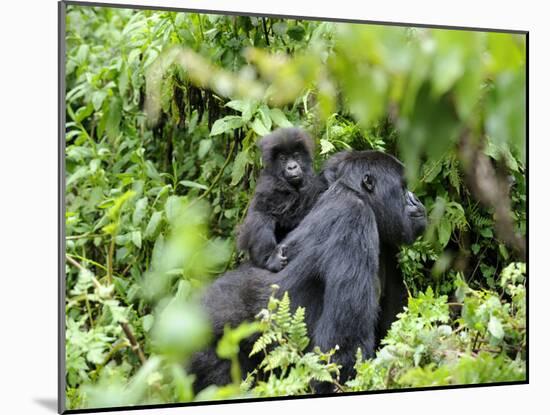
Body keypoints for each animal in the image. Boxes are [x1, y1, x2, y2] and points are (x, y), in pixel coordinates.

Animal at [239, 130, 326, 272]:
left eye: (296, 156)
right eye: (283, 159)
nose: (292, 167)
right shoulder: (269, 185)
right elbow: (263, 214)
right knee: (261, 218)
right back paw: (269, 258)